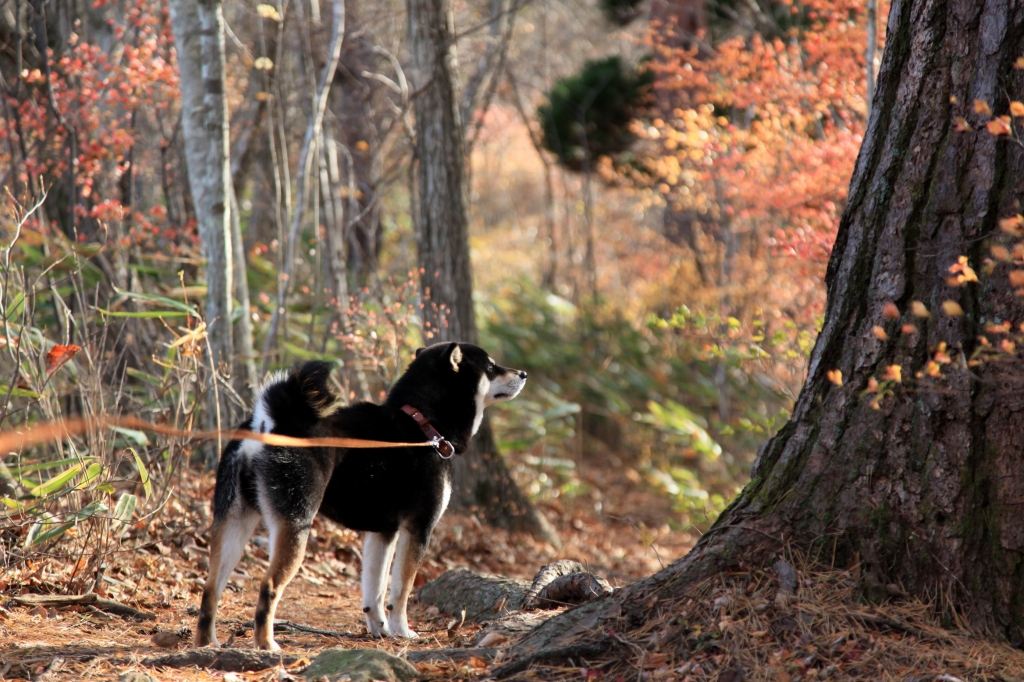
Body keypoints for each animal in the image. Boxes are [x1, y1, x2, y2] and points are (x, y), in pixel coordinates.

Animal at [194, 339, 528, 647]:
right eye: (491, 367)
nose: (523, 373)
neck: (423, 425)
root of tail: (268, 423)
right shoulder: (418, 528)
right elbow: (401, 590)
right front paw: (402, 630)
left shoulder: (382, 532)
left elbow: (374, 590)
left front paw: (380, 628)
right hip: (295, 524)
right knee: (269, 587)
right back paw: (267, 645)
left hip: (234, 521)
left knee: (211, 588)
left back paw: (207, 644)